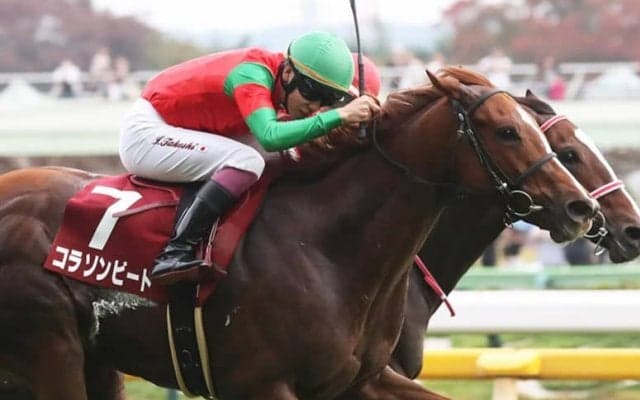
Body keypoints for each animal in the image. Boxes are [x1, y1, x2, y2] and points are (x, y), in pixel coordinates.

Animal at [0, 67, 598, 400]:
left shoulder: (360, 380)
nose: (582, 208)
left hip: (93, 363)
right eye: (507, 131)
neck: (327, 247)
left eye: (546, 137)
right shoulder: (263, 385)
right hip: (50, 351)